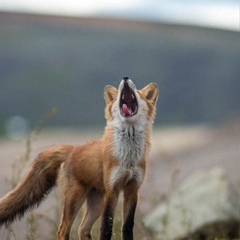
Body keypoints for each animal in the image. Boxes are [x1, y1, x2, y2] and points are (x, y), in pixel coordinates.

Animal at [0, 78, 158, 239]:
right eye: (120, 91)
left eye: (138, 92)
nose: (125, 78)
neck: (128, 158)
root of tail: (73, 149)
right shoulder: (112, 189)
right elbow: (106, 228)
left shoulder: (133, 189)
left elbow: (127, 227)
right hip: (76, 199)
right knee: (63, 229)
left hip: (96, 203)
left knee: (83, 228)